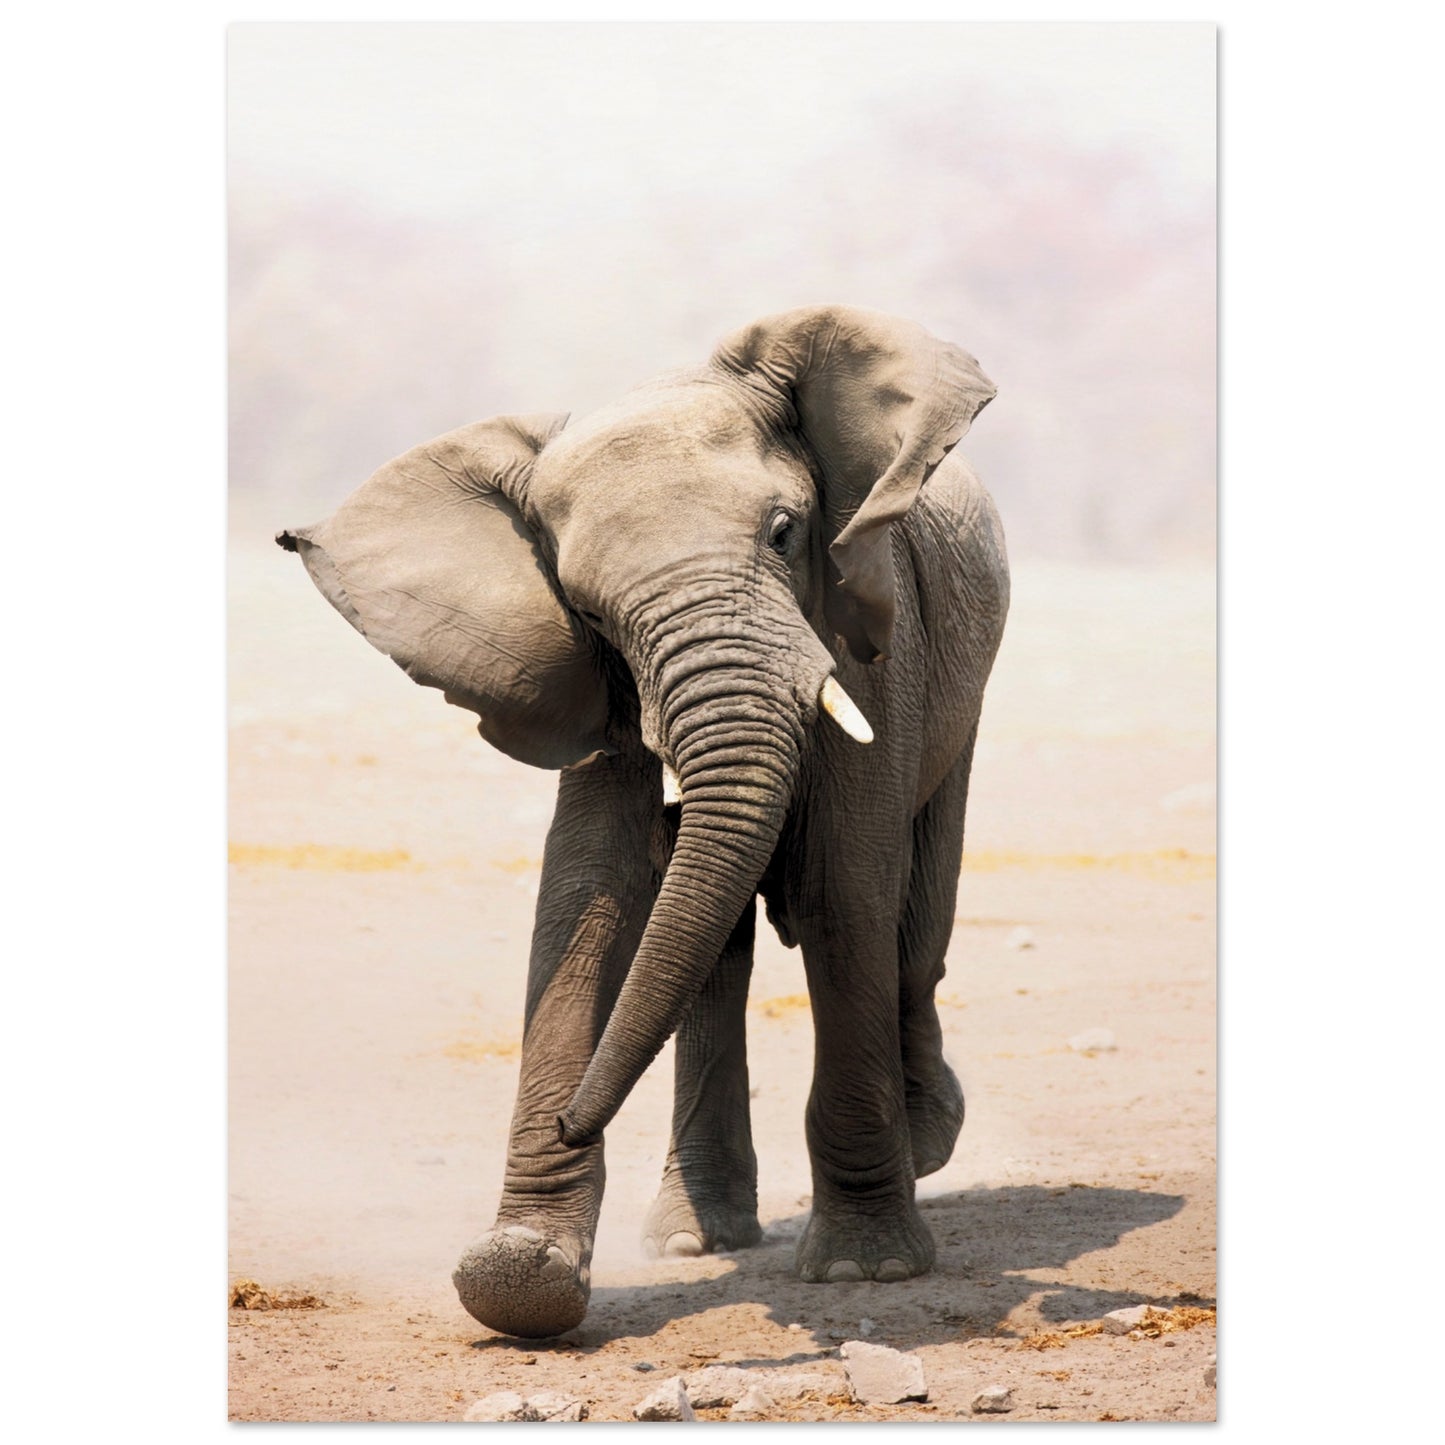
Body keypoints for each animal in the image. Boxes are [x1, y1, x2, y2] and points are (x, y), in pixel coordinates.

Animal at [277, 305, 1009, 1339]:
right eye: (584, 607)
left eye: (783, 532)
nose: (567, 1121)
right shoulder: (587, 679)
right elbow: (593, 889)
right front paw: (520, 1279)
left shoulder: (875, 631)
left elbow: (843, 884)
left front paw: (865, 1270)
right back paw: (694, 1237)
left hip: (964, 679)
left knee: (916, 898)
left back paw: (929, 1138)